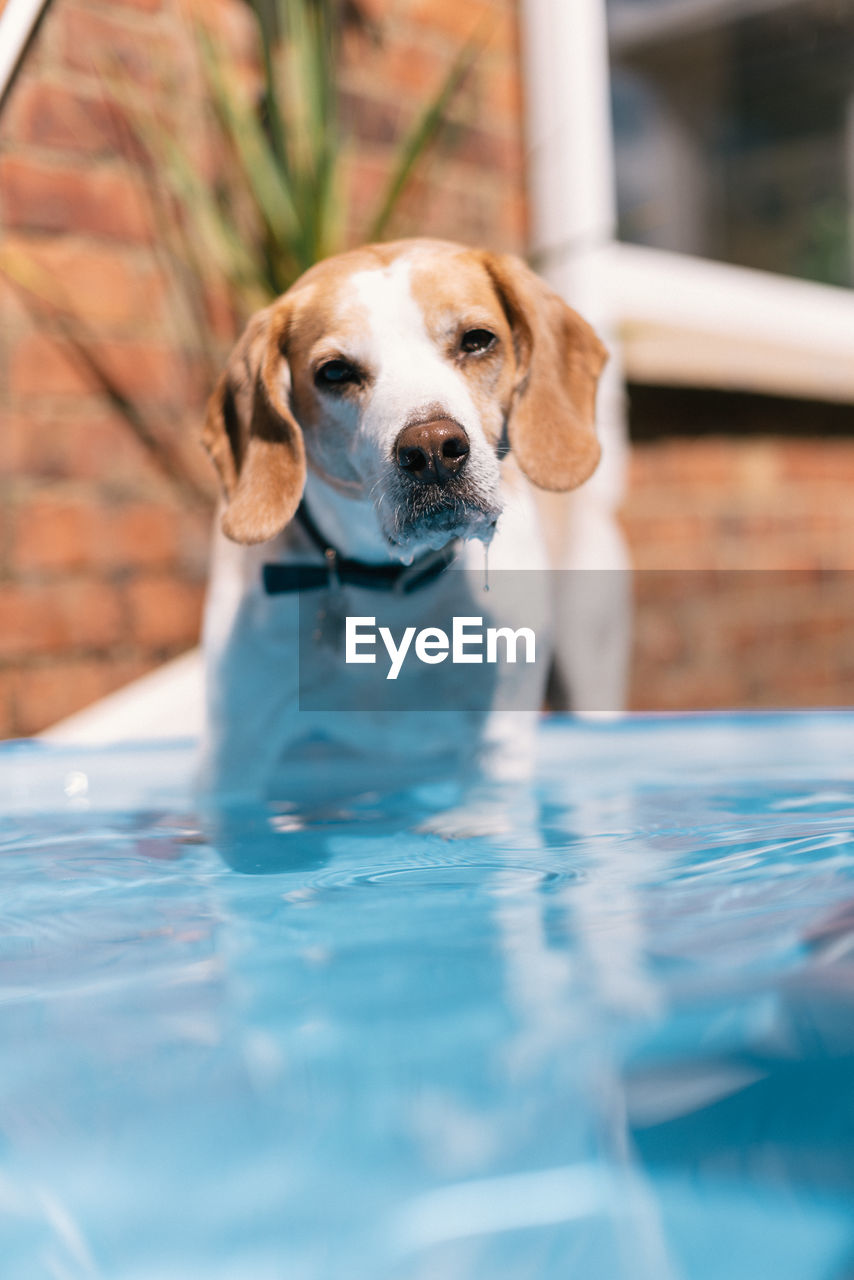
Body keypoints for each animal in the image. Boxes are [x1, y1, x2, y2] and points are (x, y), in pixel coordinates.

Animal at [197, 236, 604, 824]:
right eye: (335, 373)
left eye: (477, 341)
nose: (433, 449)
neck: (390, 590)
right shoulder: (233, 755)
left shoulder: (497, 741)